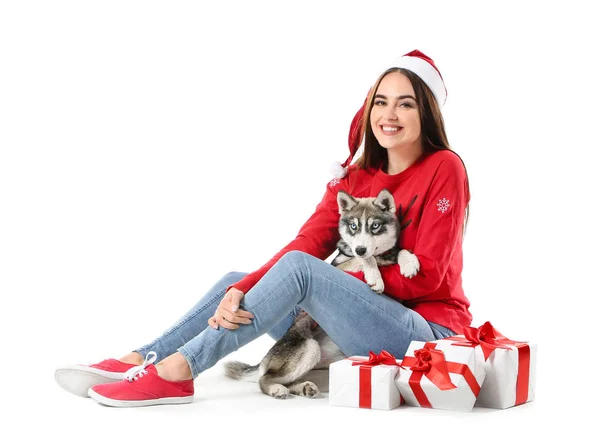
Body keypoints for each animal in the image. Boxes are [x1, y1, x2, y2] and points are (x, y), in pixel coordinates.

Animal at [223, 188, 420, 398]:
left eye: (375, 226)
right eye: (353, 226)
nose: (360, 248)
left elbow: (399, 251)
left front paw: (409, 262)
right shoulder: (341, 266)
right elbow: (368, 259)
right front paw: (375, 275)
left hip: (326, 369)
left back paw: (304, 387)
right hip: (309, 347)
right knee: (265, 378)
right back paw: (277, 388)